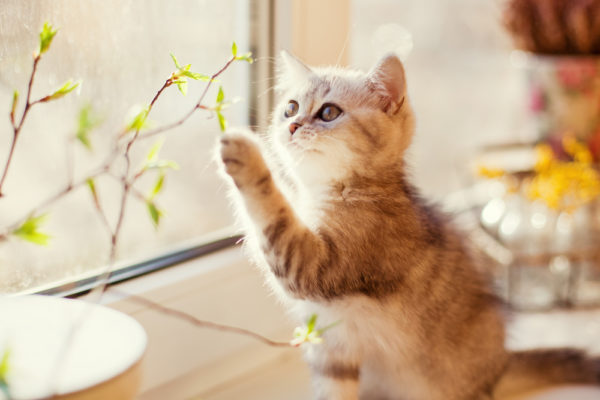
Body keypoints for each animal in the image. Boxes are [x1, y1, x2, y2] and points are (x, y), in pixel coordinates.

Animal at [217, 51, 600, 398]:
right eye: (290, 107)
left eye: (328, 112)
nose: (293, 125)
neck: (346, 188)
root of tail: (499, 366)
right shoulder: (333, 350)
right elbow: (333, 390)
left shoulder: (316, 264)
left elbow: (273, 213)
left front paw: (245, 153)